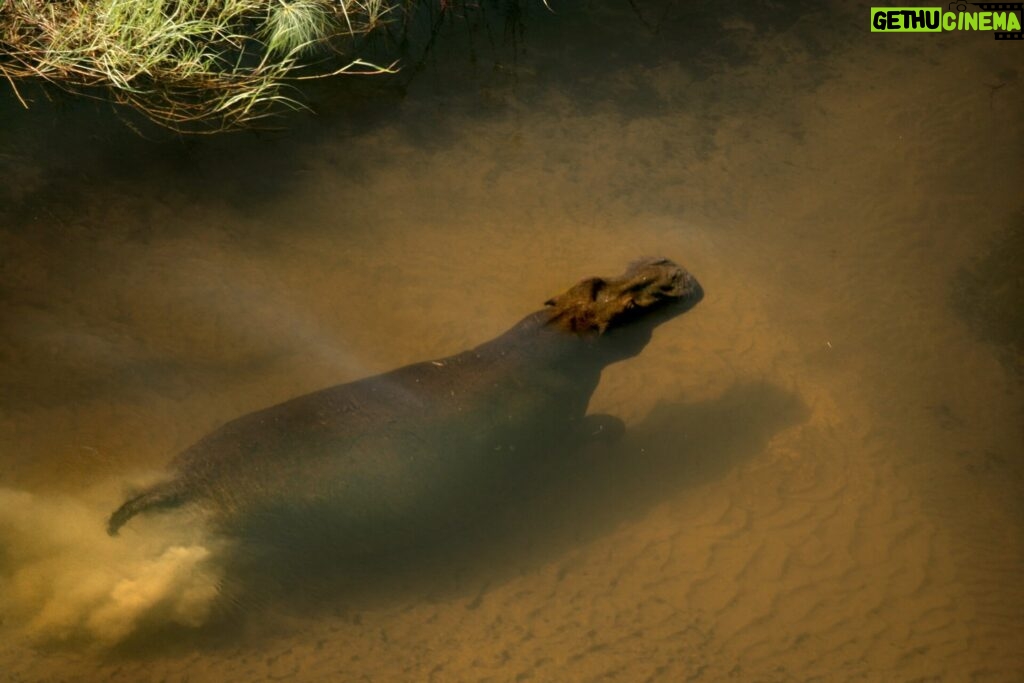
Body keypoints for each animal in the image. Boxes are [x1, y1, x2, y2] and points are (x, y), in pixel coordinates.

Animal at [105, 259, 704, 552]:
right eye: (637, 298)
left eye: (594, 279)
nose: (669, 263)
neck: (556, 336)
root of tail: (180, 483)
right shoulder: (556, 425)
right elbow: (602, 425)